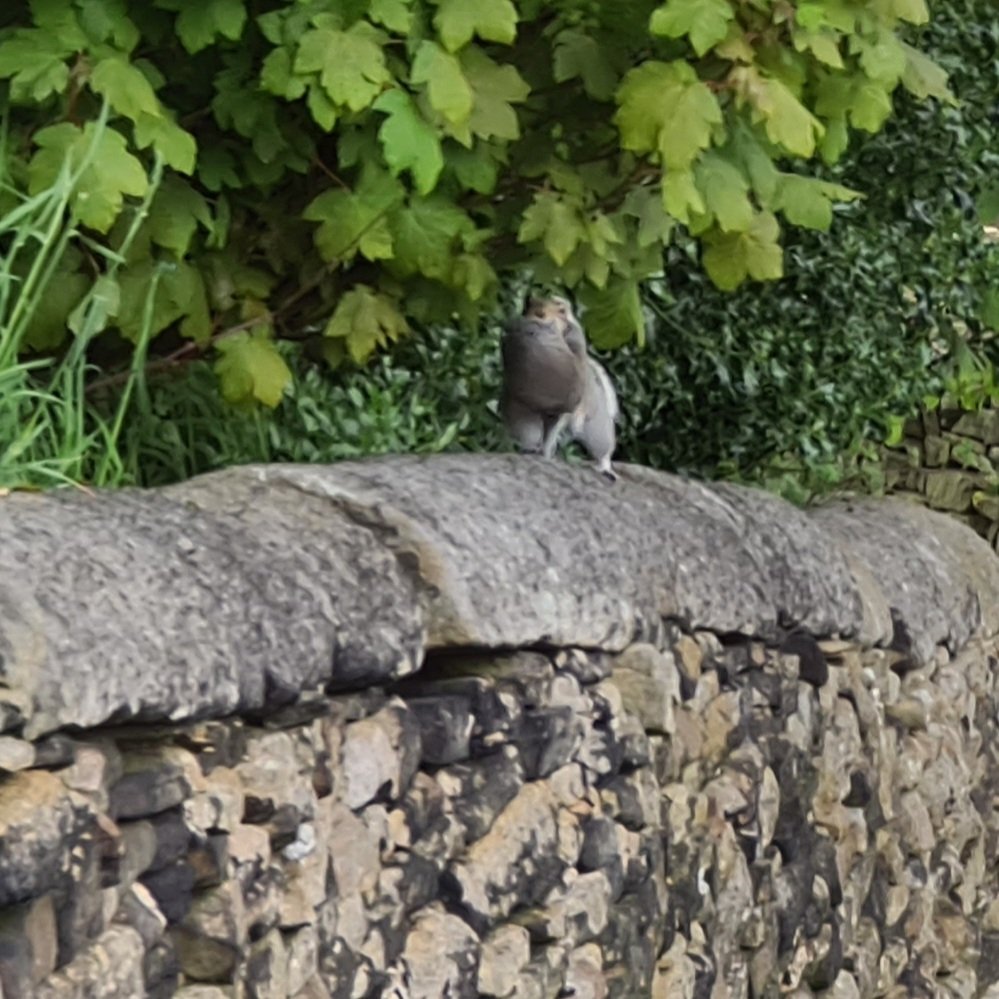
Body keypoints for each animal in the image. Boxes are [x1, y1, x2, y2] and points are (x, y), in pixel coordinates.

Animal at [501, 295, 619, 481]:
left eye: (561, 309)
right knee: (529, 431)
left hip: (594, 420)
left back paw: (604, 467)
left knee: (601, 444)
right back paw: (531, 449)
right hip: (522, 411)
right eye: (529, 307)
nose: (534, 318)